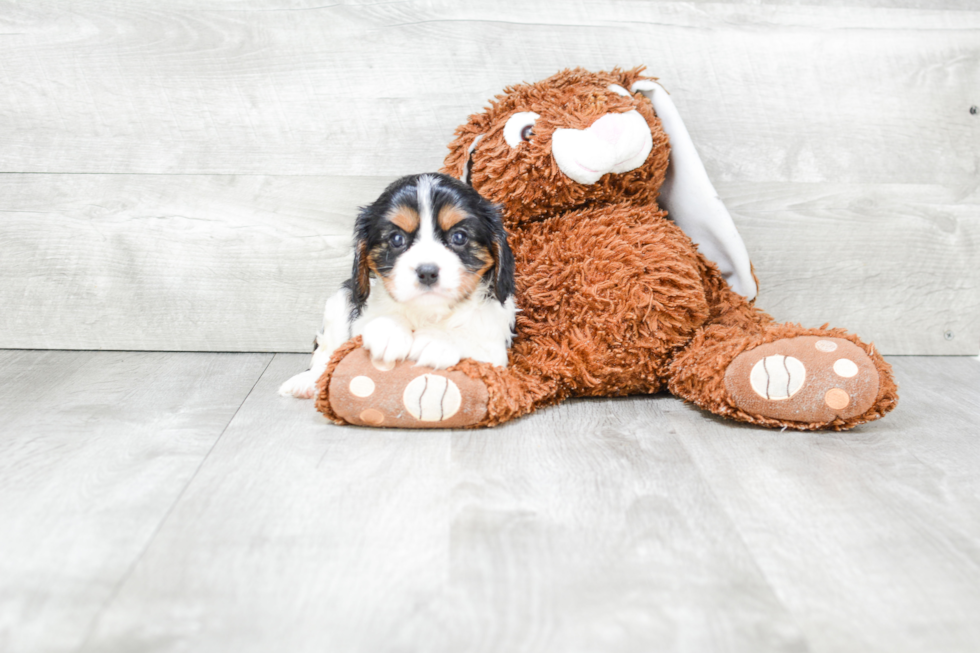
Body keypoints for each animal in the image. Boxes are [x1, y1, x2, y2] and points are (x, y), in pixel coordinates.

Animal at [278, 173, 516, 398]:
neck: (428, 312)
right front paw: (389, 330)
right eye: (396, 239)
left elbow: (473, 337)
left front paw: (438, 340)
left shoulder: (495, 348)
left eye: (459, 237)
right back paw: (307, 381)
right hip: (339, 303)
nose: (427, 272)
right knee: (327, 352)